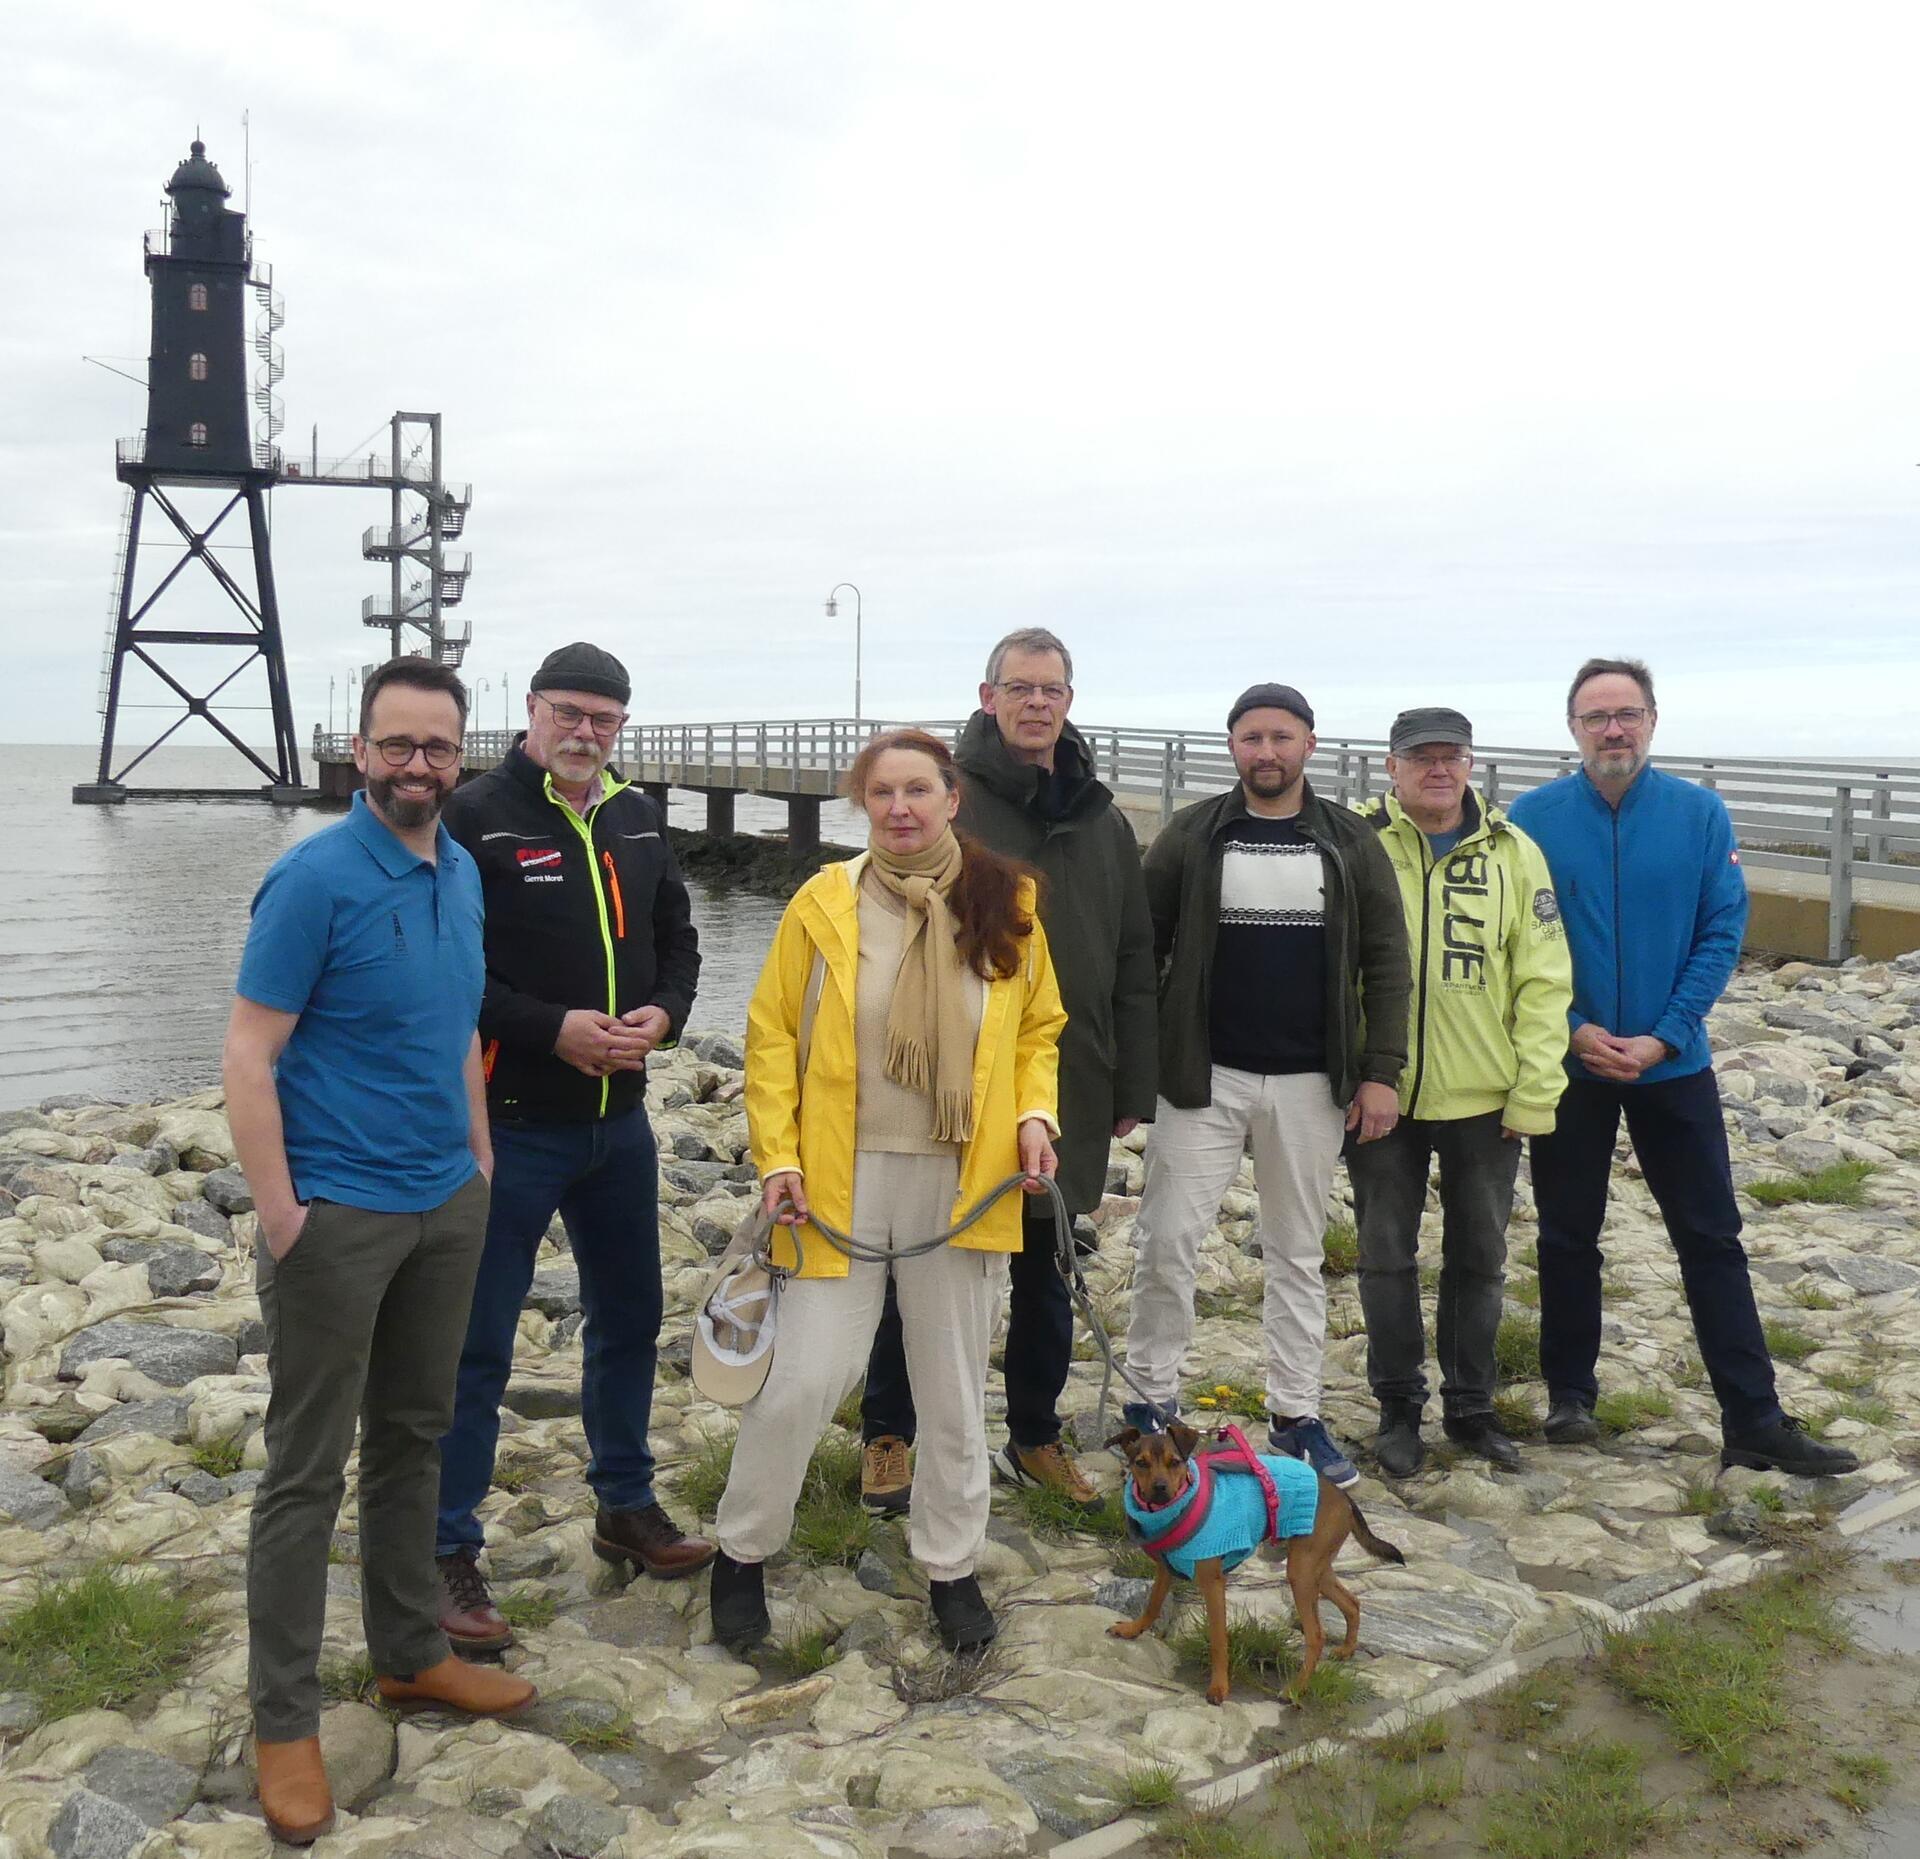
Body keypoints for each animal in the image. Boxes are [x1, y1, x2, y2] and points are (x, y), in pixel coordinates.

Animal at [1105, 1428, 1405, 1705]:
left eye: (1175, 1462)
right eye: (1141, 1463)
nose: (1160, 1488)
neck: (1175, 1506)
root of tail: (1346, 1499)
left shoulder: (1213, 1583)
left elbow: (1218, 1640)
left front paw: (1219, 1687)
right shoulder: (1165, 1569)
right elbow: (1153, 1604)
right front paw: (1132, 1629)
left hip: (1301, 1573)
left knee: (1317, 1635)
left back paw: (1295, 1689)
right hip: (1316, 1568)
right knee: (1352, 1603)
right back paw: (1346, 1650)